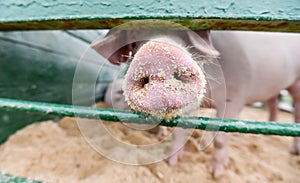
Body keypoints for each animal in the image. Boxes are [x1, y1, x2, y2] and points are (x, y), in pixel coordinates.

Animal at [92, 29, 300, 179]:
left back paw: (293, 151)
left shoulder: (236, 94)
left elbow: (221, 139)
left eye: (186, 35)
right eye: (134, 42)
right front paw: (172, 163)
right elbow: (179, 132)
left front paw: (217, 174)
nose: (157, 52)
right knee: (273, 103)